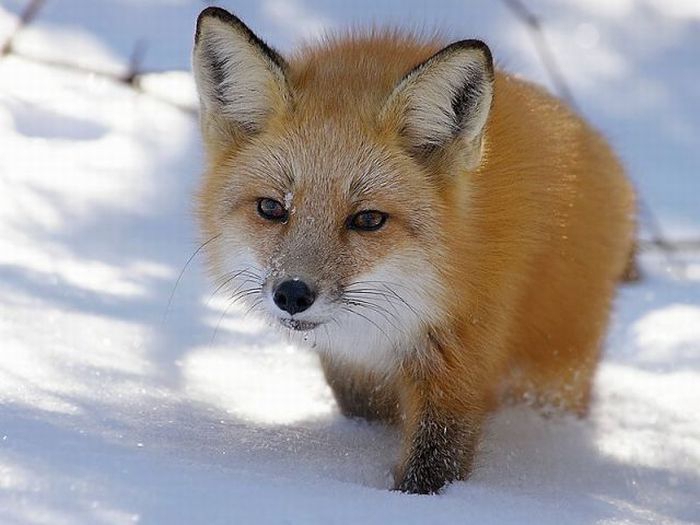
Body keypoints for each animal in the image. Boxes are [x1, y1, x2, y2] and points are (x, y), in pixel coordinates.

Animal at [192, 7, 636, 494]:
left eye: (368, 219)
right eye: (272, 208)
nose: (292, 293)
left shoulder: (461, 356)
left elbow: (436, 462)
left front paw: (416, 501)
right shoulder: (353, 371)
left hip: (551, 373)